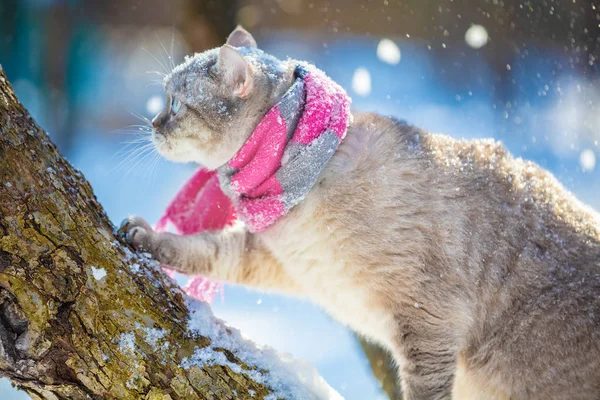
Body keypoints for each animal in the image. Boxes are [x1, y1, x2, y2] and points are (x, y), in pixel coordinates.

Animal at [122, 26, 600, 398]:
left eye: (174, 104)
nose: (153, 124)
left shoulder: (429, 321)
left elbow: (424, 392)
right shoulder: (278, 259)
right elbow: (204, 250)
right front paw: (141, 235)